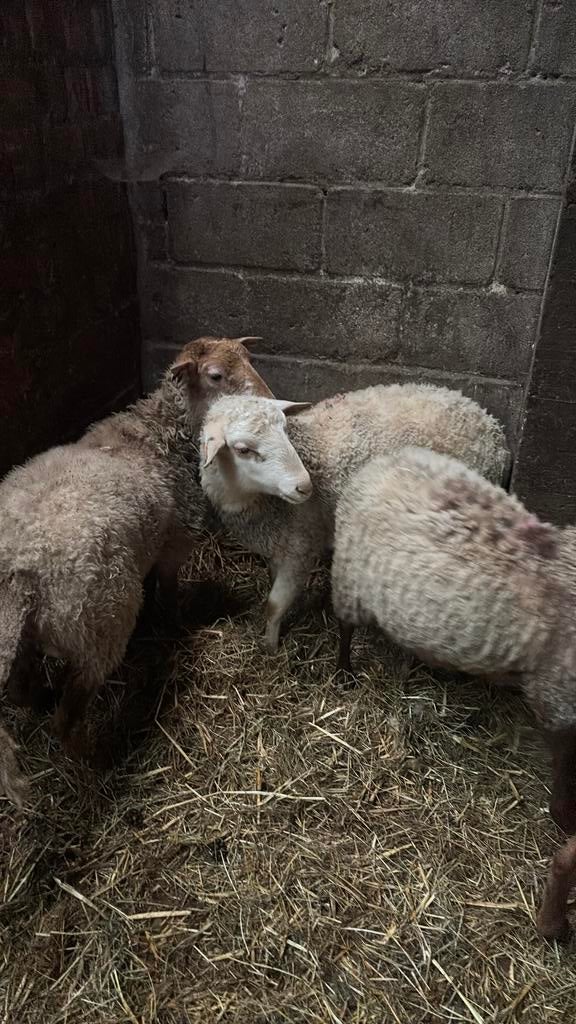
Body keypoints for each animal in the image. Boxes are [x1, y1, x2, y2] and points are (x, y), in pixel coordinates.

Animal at [0, 336, 272, 761]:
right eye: (215, 375)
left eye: (249, 359)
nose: (269, 401)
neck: (159, 429)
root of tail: (20, 569)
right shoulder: (175, 539)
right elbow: (169, 590)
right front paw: (175, 623)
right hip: (97, 626)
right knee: (67, 719)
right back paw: (97, 758)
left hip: (24, 638)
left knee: (17, 690)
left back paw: (42, 698)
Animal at [203, 382, 510, 651]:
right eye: (243, 449)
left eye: (286, 431)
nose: (304, 486)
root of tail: (491, 426)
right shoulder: (277, 546)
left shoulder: (301, 546)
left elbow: (274, 605)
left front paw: (270, 648)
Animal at [330, 446, 576, 939]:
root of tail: (379, 462)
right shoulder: (556, 696)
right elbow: (562, 768)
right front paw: (565, 816)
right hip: (350, 579)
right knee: (344, 627)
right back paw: (345, 671)